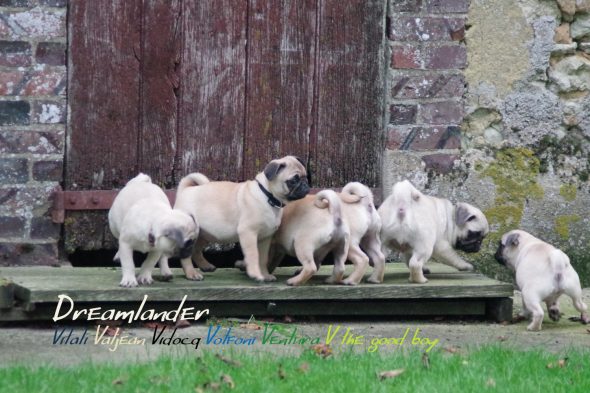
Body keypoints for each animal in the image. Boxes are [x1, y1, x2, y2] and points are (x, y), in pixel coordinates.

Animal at [175, 155, 310, 282]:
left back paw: (205, 266)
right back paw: (191, 274)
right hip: (191, 233)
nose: (306, 185)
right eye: (293, 181)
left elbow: (263, 258)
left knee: (196, 250)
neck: (267, 196)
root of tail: (185, 190)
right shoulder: (248, 233)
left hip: (204, 234)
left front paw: (265, 275)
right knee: (186, 255)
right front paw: (255, 274)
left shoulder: (265, 238)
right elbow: (253, 255)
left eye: (306, 177)